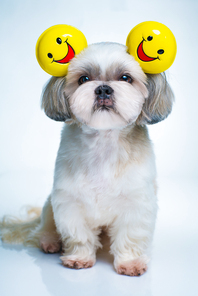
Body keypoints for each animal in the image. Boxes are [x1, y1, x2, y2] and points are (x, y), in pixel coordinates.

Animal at [0, 41, 173, 276]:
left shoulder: (136, 203)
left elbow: (130, 236)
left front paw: (130, 262)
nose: (103, 88)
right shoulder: (69, 201)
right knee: (45, 227)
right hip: (49, 206)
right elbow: (78, 235)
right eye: (84, 79)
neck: (104, 143)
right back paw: (49, 242)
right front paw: (79, 258)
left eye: (125, 78)